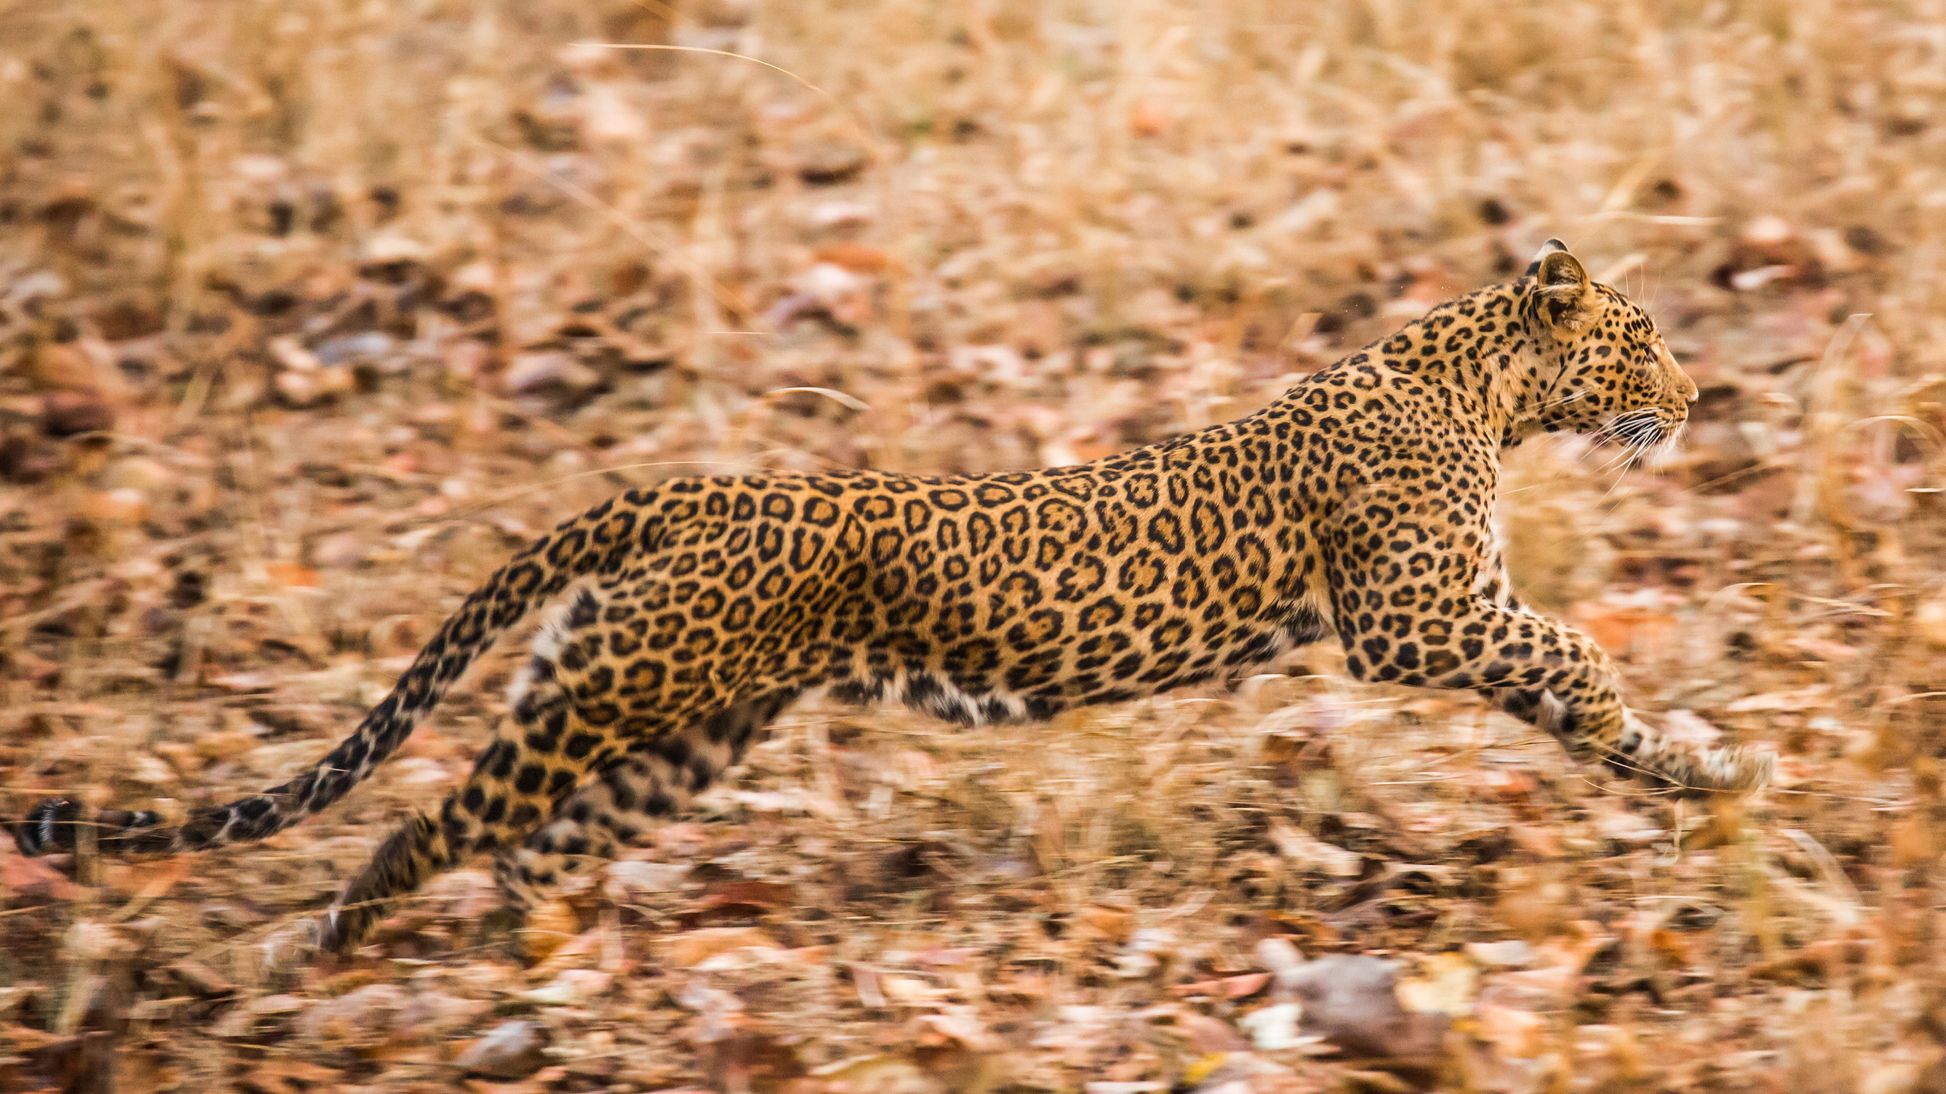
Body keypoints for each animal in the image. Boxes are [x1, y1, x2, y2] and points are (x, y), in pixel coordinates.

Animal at [11, 240, 1772, 955]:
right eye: (1642, 340)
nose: (1699, 397)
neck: (1480, 384)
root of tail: (698, 487)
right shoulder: (1417, 614)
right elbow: (1567, 649)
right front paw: (1687, 740)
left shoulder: (1450, 615)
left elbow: (1588, 709)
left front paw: (1704, 775)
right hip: (614, 701)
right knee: (435, 819)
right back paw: (337, 935)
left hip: (676, 723)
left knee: (525, 841)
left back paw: (537, 938)